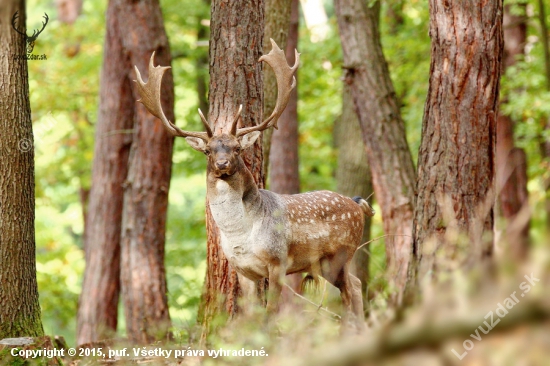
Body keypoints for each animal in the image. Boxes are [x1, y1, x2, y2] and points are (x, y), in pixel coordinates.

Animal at [134, 39, 376, 328]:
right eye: (208, 151)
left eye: (237, 148)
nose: (222, 163)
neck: (240, 234)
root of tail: (356, 203)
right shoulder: (243, 269)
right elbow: (250, 314)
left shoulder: (278, 260)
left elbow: (270, 313)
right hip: (325, 264)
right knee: (356, 283)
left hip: (342, 253)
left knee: (349, 291)